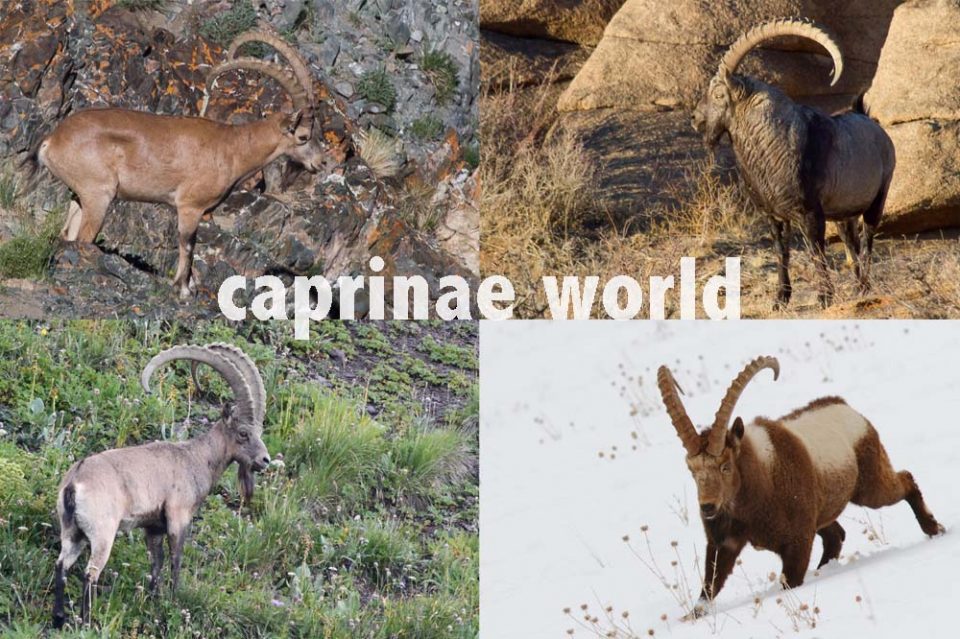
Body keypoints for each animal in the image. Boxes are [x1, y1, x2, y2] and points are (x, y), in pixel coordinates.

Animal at [26, 27, 324, 298]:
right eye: (303, 136)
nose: (319, 164)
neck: (232, 147)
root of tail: (52, 140)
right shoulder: (190, 206)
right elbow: (188, 244)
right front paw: (183, 288)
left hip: (79, 196)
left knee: (67, 234)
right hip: (98, 194)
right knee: (83, 238)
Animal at [52, 343, 270, 629]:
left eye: (259, 433)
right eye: (243, 433)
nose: (265, 460)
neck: (195, 458)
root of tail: (75, 483)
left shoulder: (153, 527)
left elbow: (157, 563)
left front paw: (154, 601)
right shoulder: (178, 515)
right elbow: (176, 559)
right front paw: (174, 600)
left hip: (71, 532)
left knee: (61, 565)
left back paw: (58, 618)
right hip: (102, 533)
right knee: (90, 574)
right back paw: (87, 623)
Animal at [657, 356, 943, 615]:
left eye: (725, 466)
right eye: (692, 470)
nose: (707, 507)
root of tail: (845, 406)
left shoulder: (798, 540)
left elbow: (790, 580)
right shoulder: (724, 541)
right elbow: (709, 589)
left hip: (870, 486)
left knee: (905, 480)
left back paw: (934, 528)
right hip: (823, 509)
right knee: (836, 536)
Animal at [691, 19, 896, 308]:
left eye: (719, 94)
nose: (695, 118)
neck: (772, 146)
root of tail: (869, 120)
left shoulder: (810, 213)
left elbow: (816, 252)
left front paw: (824, 297)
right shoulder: (774, 216)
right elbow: (781, 252)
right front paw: (781, 298)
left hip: (878, 197)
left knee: (867, 240)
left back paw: (865, 286)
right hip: (843, 213)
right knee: (851, 242)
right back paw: (859, 287)